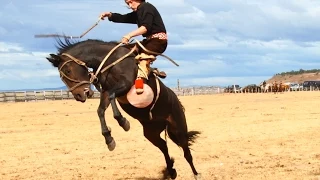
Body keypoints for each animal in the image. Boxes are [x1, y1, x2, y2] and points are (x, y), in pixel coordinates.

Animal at [45, 38, 200, 179]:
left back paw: (195, 174)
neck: (111, 61)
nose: (79, 95)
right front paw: (109, 139)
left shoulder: (125, 85)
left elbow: (113, 97)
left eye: (68, 70)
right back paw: (171, 170)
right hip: (151, 132)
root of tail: (175, 99)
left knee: (187, 153)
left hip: (178, 128)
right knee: (163, 146)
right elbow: (101, 110)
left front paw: (123, 121)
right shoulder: (106, 91)